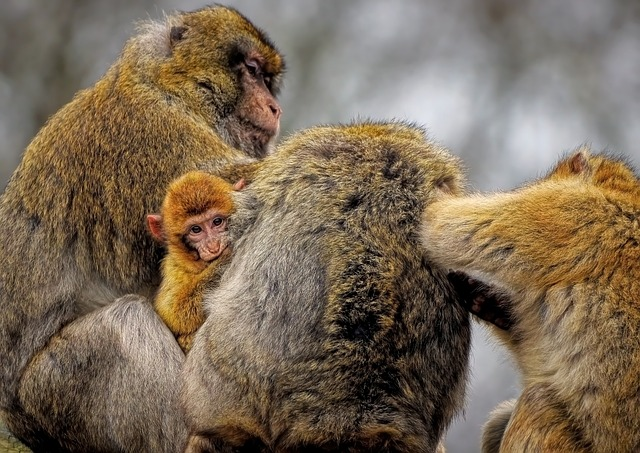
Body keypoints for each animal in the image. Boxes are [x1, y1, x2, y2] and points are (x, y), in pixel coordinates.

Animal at [147, 171, 243, 353]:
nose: (213, 245)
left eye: (217, 222)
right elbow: (172, 312)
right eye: (196, 230)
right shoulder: (174, 267)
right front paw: (226, 257)